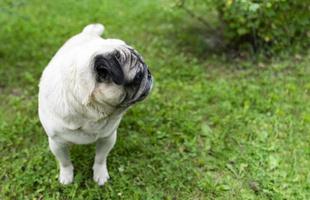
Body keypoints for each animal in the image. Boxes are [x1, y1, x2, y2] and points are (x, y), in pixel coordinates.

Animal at [38, 23, 153, 186]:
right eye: (138, 76)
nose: (149, 74)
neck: (90, 112)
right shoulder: (57, 143)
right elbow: (65, 162)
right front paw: (66, 176)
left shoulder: (108, 138)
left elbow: (100, 158)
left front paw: (100, 174)